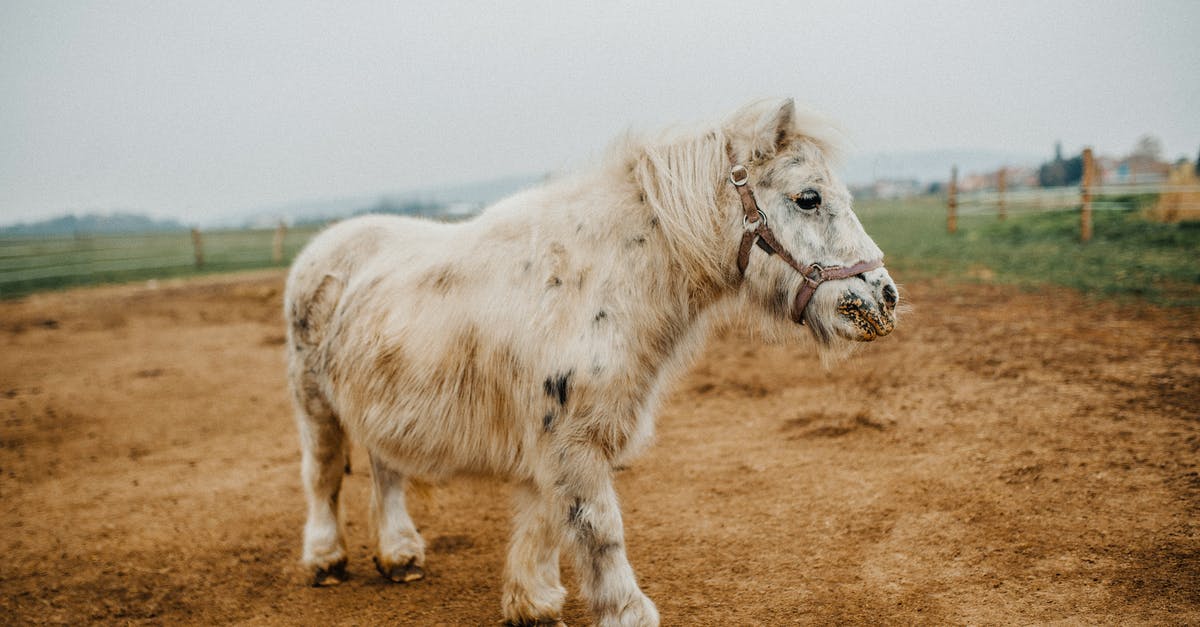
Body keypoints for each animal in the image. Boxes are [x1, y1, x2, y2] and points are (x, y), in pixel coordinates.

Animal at [285, 100, 897, 619]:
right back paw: (326, 560)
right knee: (322, 474)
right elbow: (598, 528)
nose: (885, 299)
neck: (599, 280)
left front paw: (533, 602)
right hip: (315, 405)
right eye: (808, 197)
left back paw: (399, 555)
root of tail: (323, 249)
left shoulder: (554, 438)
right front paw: (625, 612)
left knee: (385, 469)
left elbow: (547, 517)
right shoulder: (570, 439)